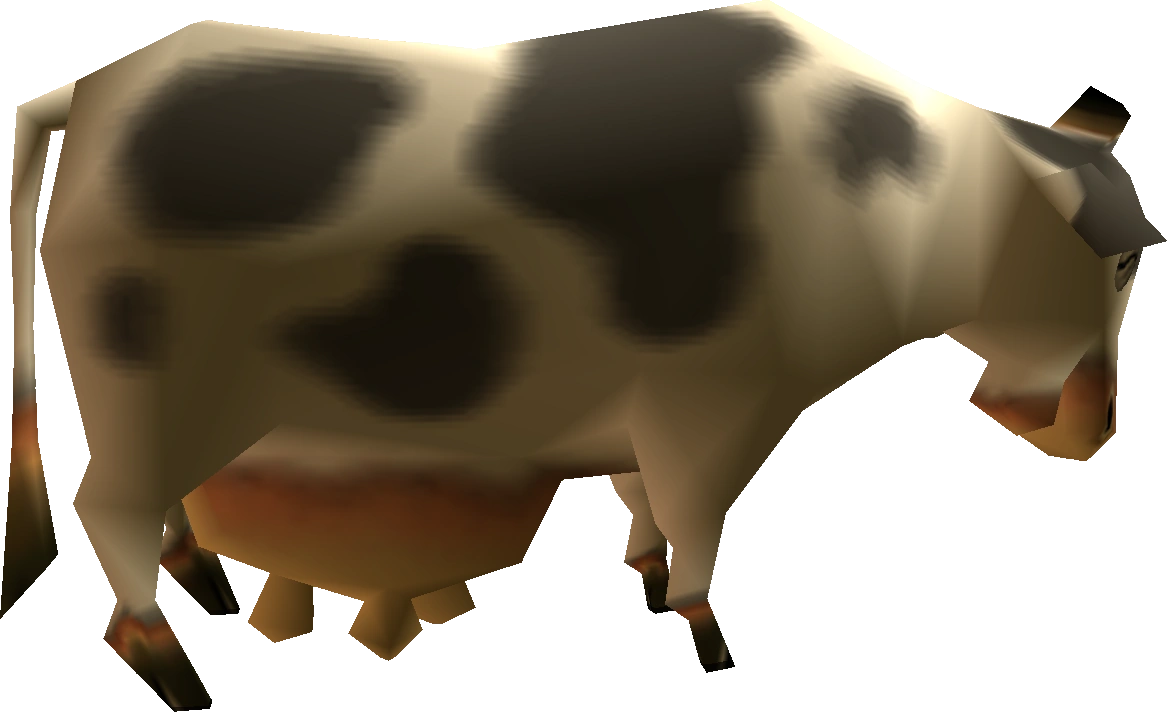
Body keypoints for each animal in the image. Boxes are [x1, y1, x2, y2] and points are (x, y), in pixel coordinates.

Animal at [6, 2, 1162, 707]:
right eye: (1118, 261)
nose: (1092, 429)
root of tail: (90, 93)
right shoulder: (720, 394)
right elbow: (697, 506)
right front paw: (706, 640)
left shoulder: (650, 404)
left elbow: (640, 496)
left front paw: (648, 588)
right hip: (138, 370)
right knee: (101, 499)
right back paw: (181, 674)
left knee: (146, 507)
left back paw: (205, 591)